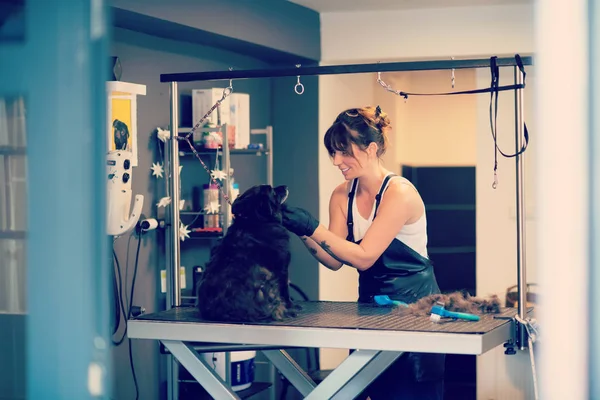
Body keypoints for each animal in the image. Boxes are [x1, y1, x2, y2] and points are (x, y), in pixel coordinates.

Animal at [197, 184, 300, 322]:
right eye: (272, 191)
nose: (285, 186)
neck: (256, 220)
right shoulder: (282, 268)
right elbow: (285, 291)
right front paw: (291, 306)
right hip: (266, 276)